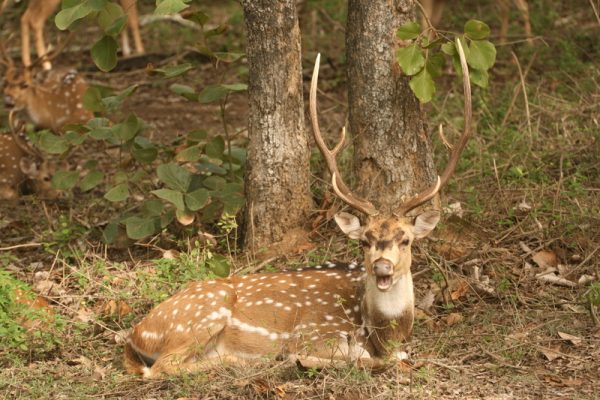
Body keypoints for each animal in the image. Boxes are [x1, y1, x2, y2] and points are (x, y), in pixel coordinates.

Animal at [0, 0, 145, 70]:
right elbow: (133, 19)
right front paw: (140, 51)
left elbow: (120, 19)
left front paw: (127, 51)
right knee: (35, 20)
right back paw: (46, 64)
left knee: (25, 17)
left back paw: (27, 63)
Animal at [123, 43, 474, 378]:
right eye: (364, 240)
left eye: (406, 240)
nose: (382, 267)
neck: (383, 335)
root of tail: (137, 333)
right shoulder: (313, 332)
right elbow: (359, 357)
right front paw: (301, 360)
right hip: (203, 312)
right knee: (161, 367)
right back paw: (241, 362)